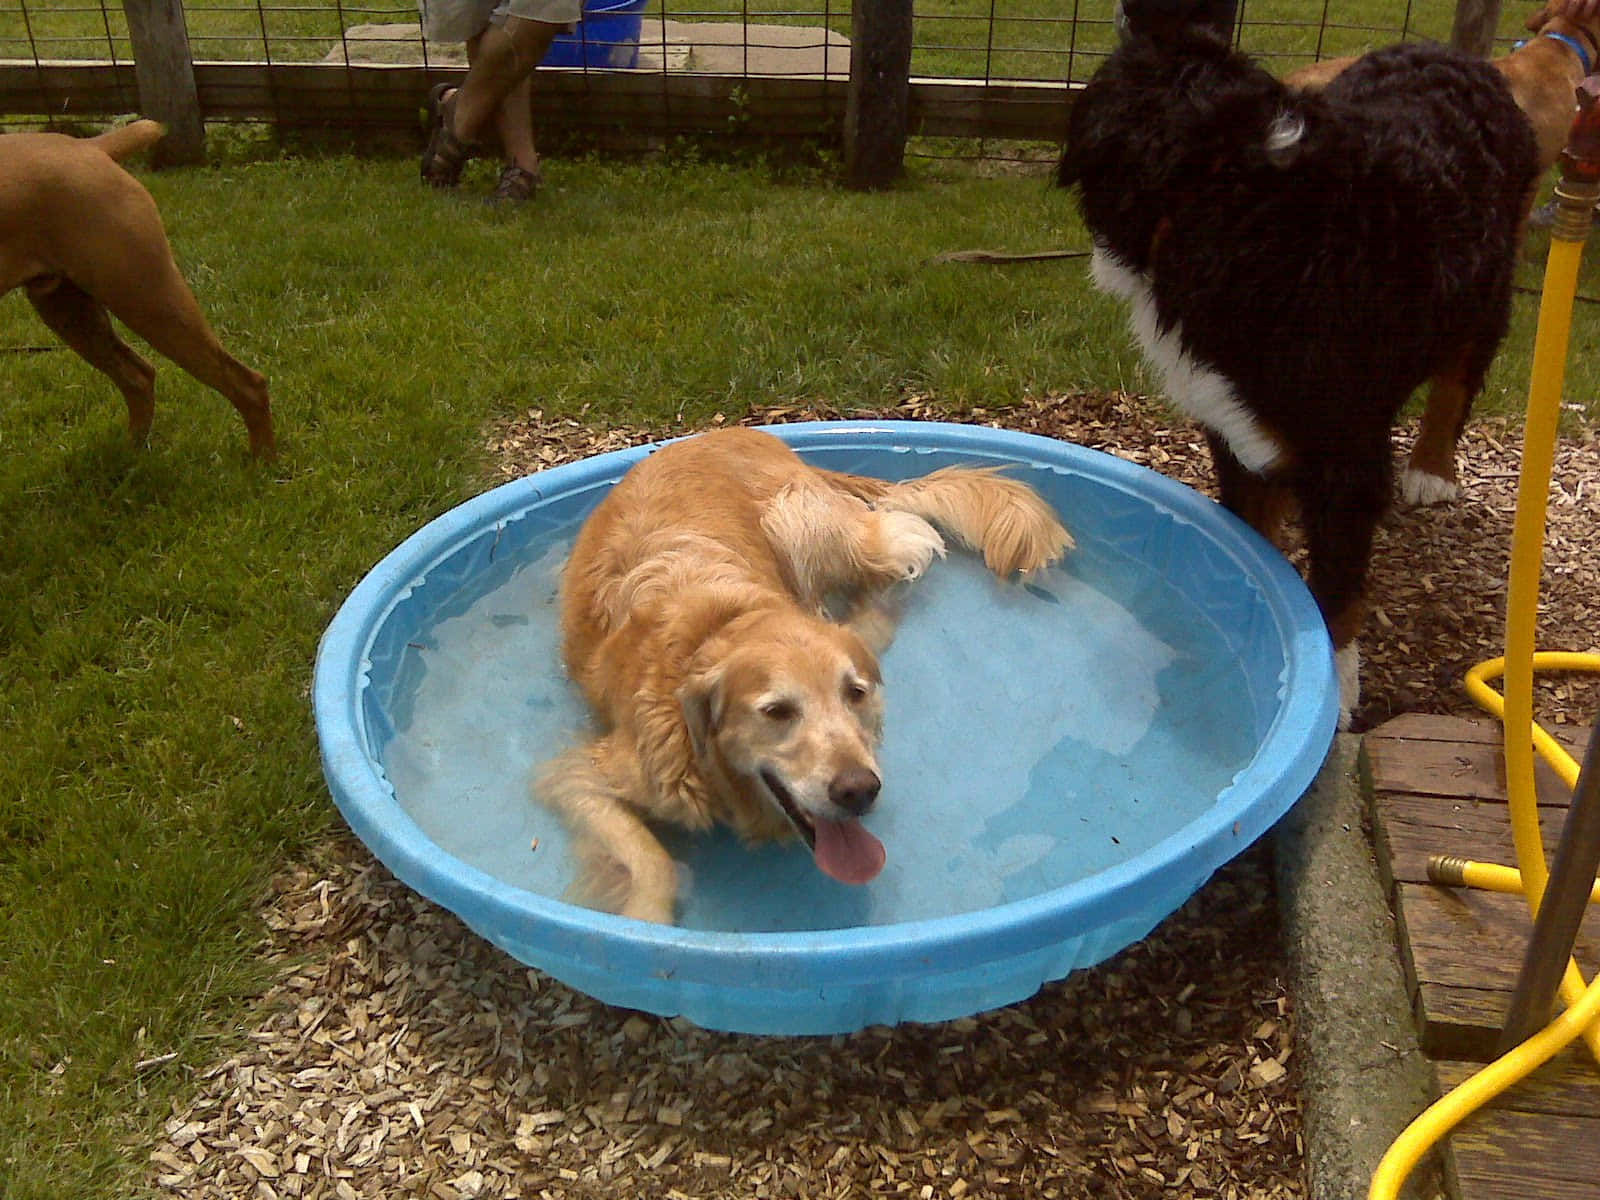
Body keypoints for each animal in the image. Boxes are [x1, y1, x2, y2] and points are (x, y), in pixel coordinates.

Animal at [0, 122, 275, 457]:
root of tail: (89, 147)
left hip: (147, 300)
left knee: (246, 382)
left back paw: (263, 462)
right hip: (74, 312)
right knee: (138, 376)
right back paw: (130, 453)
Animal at [537, 428, 1075, 928]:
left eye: (854, 695)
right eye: (776, 711)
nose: (860, 790)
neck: (716, 625)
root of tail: (740, 433)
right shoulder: (580, 775)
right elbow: (653, 860)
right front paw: (646, 917)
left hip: (798, 517)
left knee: (904, 549)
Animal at [1062, 30, 1536, 723]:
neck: (1241, 209)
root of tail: (1459, 56)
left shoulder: (1344, 449)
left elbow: (1336, 586)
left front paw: (1334, 687)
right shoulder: (1237, 421)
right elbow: (1251, 527)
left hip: (1488, 291)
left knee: (1456, 382)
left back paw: (1430, 469)